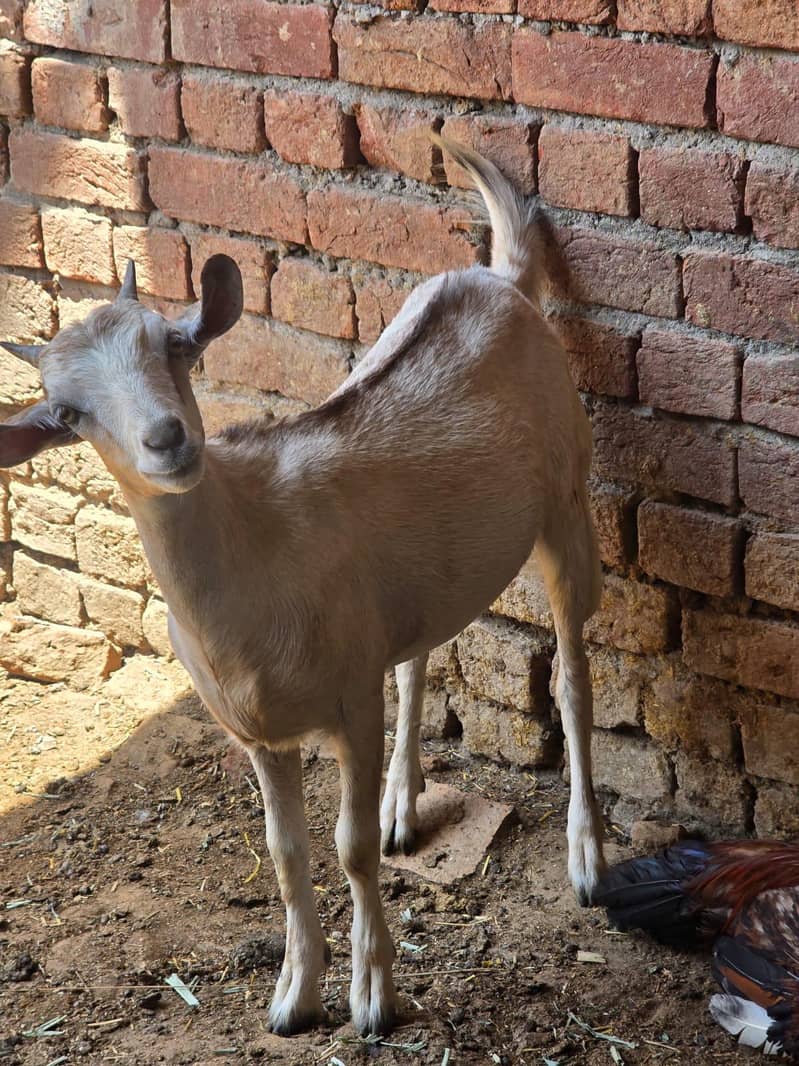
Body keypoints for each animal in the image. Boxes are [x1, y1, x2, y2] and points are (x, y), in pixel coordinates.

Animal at [0, 140, 605, 1037]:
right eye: (67, 412)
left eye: (176, 346)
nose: (167, 439)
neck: (255, 557)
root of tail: (499, 279)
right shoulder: (254, 732)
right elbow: (285, 855)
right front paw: (293, 997)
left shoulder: (348, 700)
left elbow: (344, 847)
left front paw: (373, 998)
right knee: (419, 651)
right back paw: (403, 806)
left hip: (566, 497)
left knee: (570, 674)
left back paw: (587, 858)